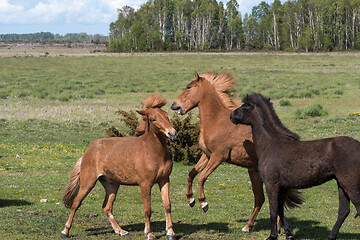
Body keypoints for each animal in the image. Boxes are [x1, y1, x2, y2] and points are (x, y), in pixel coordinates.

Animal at [61, 94, 177, 240]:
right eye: (153, 119)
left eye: (166, 115)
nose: (172, 133)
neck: (152, 152)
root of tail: (87, 150)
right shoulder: (145, 184)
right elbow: (147, 209)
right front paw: (149, 234)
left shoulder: (164, 180)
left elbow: (167, 205)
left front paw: (170, 233)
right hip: (88, 183)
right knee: (76, 203)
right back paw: (65, 231)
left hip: (112, 185)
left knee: (107, 207)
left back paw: (121, 231)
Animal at [170, 72, 302, 232]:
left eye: (189, 87)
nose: (174, 105)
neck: (216, 120)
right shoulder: (207, 155)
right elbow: (191, 174)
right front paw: (191, 200)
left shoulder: (218, 157)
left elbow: (201, 178)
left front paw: (203, 203)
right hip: (255, 173)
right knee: (261, 199)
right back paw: (250, 227)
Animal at [231, 92, 360, 240]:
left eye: (244, 107)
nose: (231, 115)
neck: (270, 145)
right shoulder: (283, 186)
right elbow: (280, 210)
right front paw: (288, 233)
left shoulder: (271, 184)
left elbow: (273, 211)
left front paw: (272, 236)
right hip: (341, 184)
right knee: (343, 211)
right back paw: (331, 236)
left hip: (349, 184)